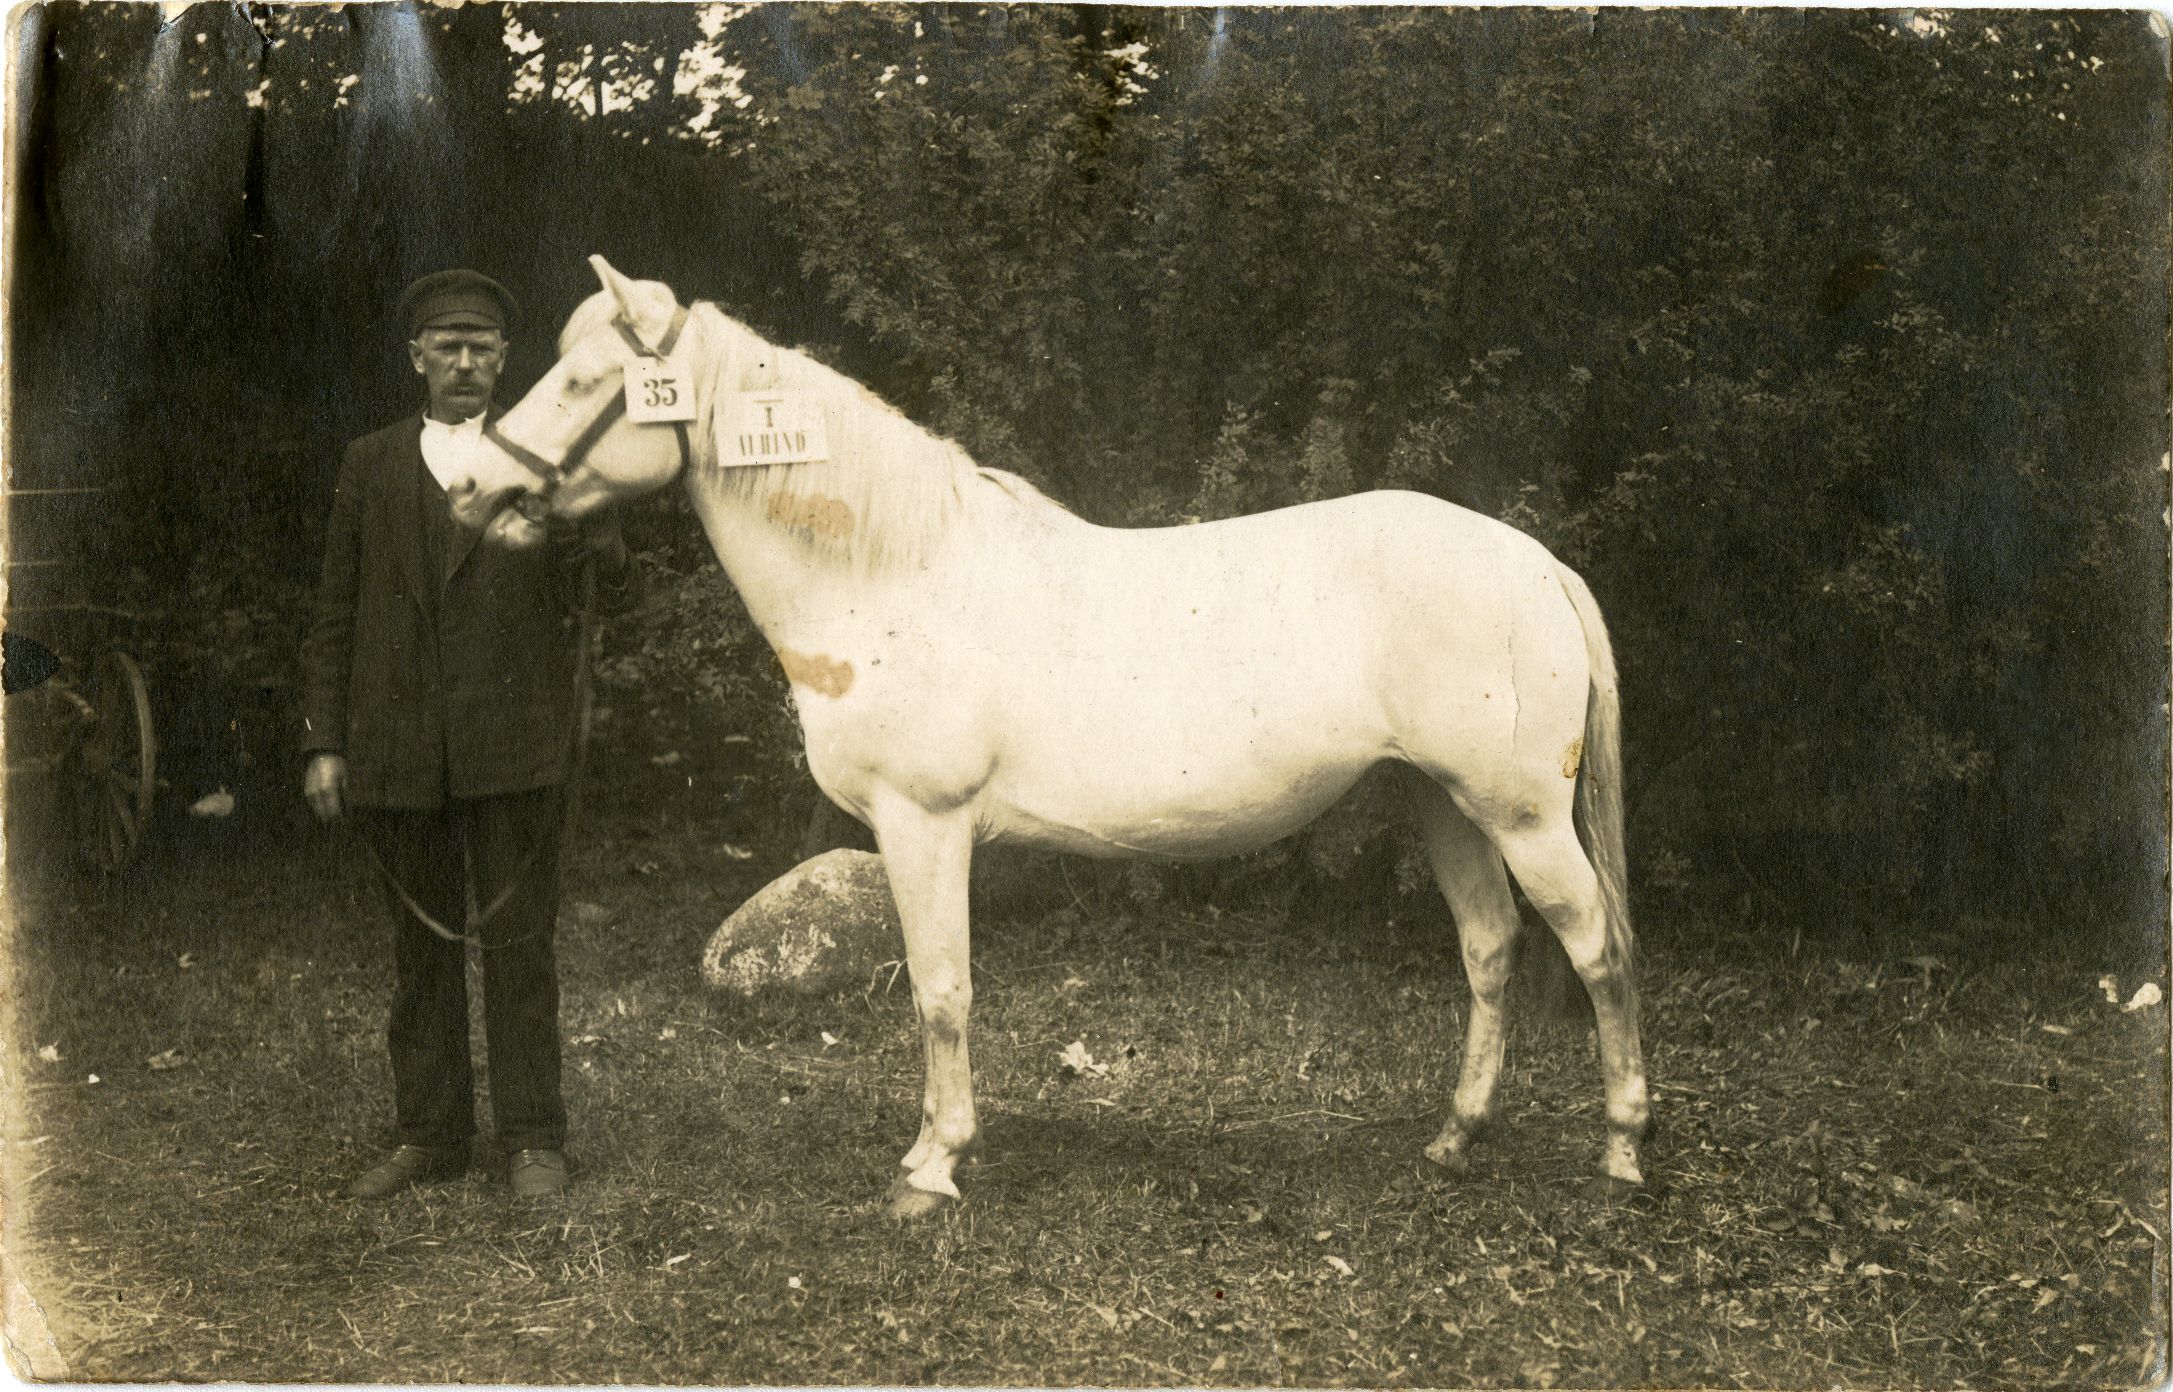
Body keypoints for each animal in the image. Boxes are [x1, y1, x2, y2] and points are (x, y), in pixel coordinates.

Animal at [454, 258, 1642, 1216]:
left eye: (580, 383)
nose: (472, 487)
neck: (896, 577)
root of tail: (1534, 561)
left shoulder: (923, 825)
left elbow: (941, 994)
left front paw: (932, 1169)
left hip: (1524, 818)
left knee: (1597, 951)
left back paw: (1623, 1149)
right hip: (1444, 805)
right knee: (1489, 949)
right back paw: (1454, 1138)